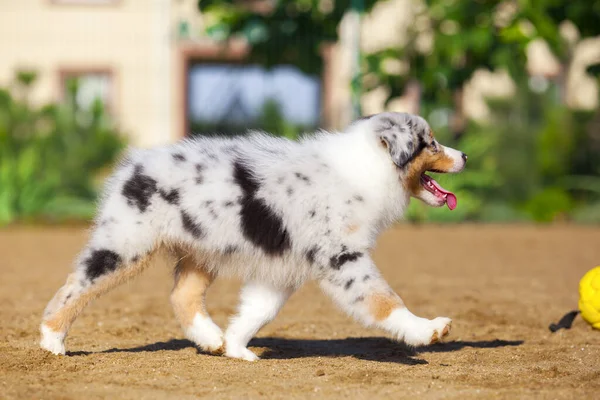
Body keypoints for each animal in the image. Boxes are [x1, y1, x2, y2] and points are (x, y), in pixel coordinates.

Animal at [39, 111, 466, 360]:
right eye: (430, 143)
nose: (465, 157)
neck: (367, 167)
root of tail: (134, 162)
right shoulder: (342, 257)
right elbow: (382, 300)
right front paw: (427, 330)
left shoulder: (283, 268)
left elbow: (258, 311)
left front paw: (236, 349)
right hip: (127, 243)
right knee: (75, 285)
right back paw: (51, 341)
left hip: (202, 248)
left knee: (182, 295)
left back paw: (211, 339)